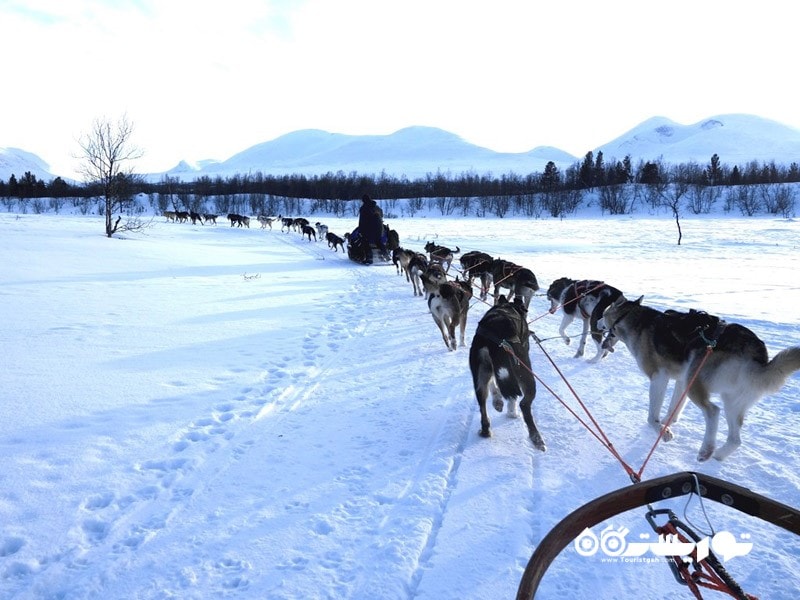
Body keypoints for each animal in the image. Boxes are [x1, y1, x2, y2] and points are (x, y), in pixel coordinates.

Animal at [466, 296, 548, 450]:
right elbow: (512, 397)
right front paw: (511, 412)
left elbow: (494, 386)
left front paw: (497, 400)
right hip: (526, 374)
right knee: (524, 404)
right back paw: (536, 438)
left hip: (479, 378)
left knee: (482, 405)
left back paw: (485, 430)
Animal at [600, 298, 800, 462]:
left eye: (603, 313)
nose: (598, 322)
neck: (632, 318)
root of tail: (756, 355)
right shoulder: (681, 381)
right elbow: (673, 410)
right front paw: (666, 424)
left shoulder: (659, 377)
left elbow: (652, 417)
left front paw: (662, 431)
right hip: (729, 399)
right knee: (735, 439)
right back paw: (717, 454)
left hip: (695, 383)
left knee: (713, 411)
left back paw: (707, 449)